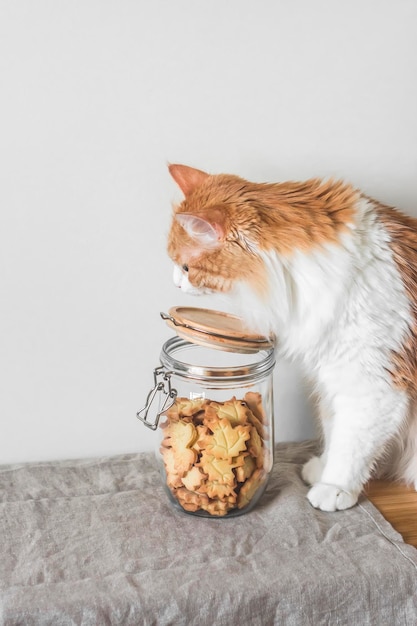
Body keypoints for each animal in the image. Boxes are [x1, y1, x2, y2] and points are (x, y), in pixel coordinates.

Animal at [166, 163, 416, 510]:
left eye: (187, 268)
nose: (175, 283)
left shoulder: (372, 384)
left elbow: (351, 444)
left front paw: (334, 487)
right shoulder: (330, 375)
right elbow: (334, 430)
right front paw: (323, 469)